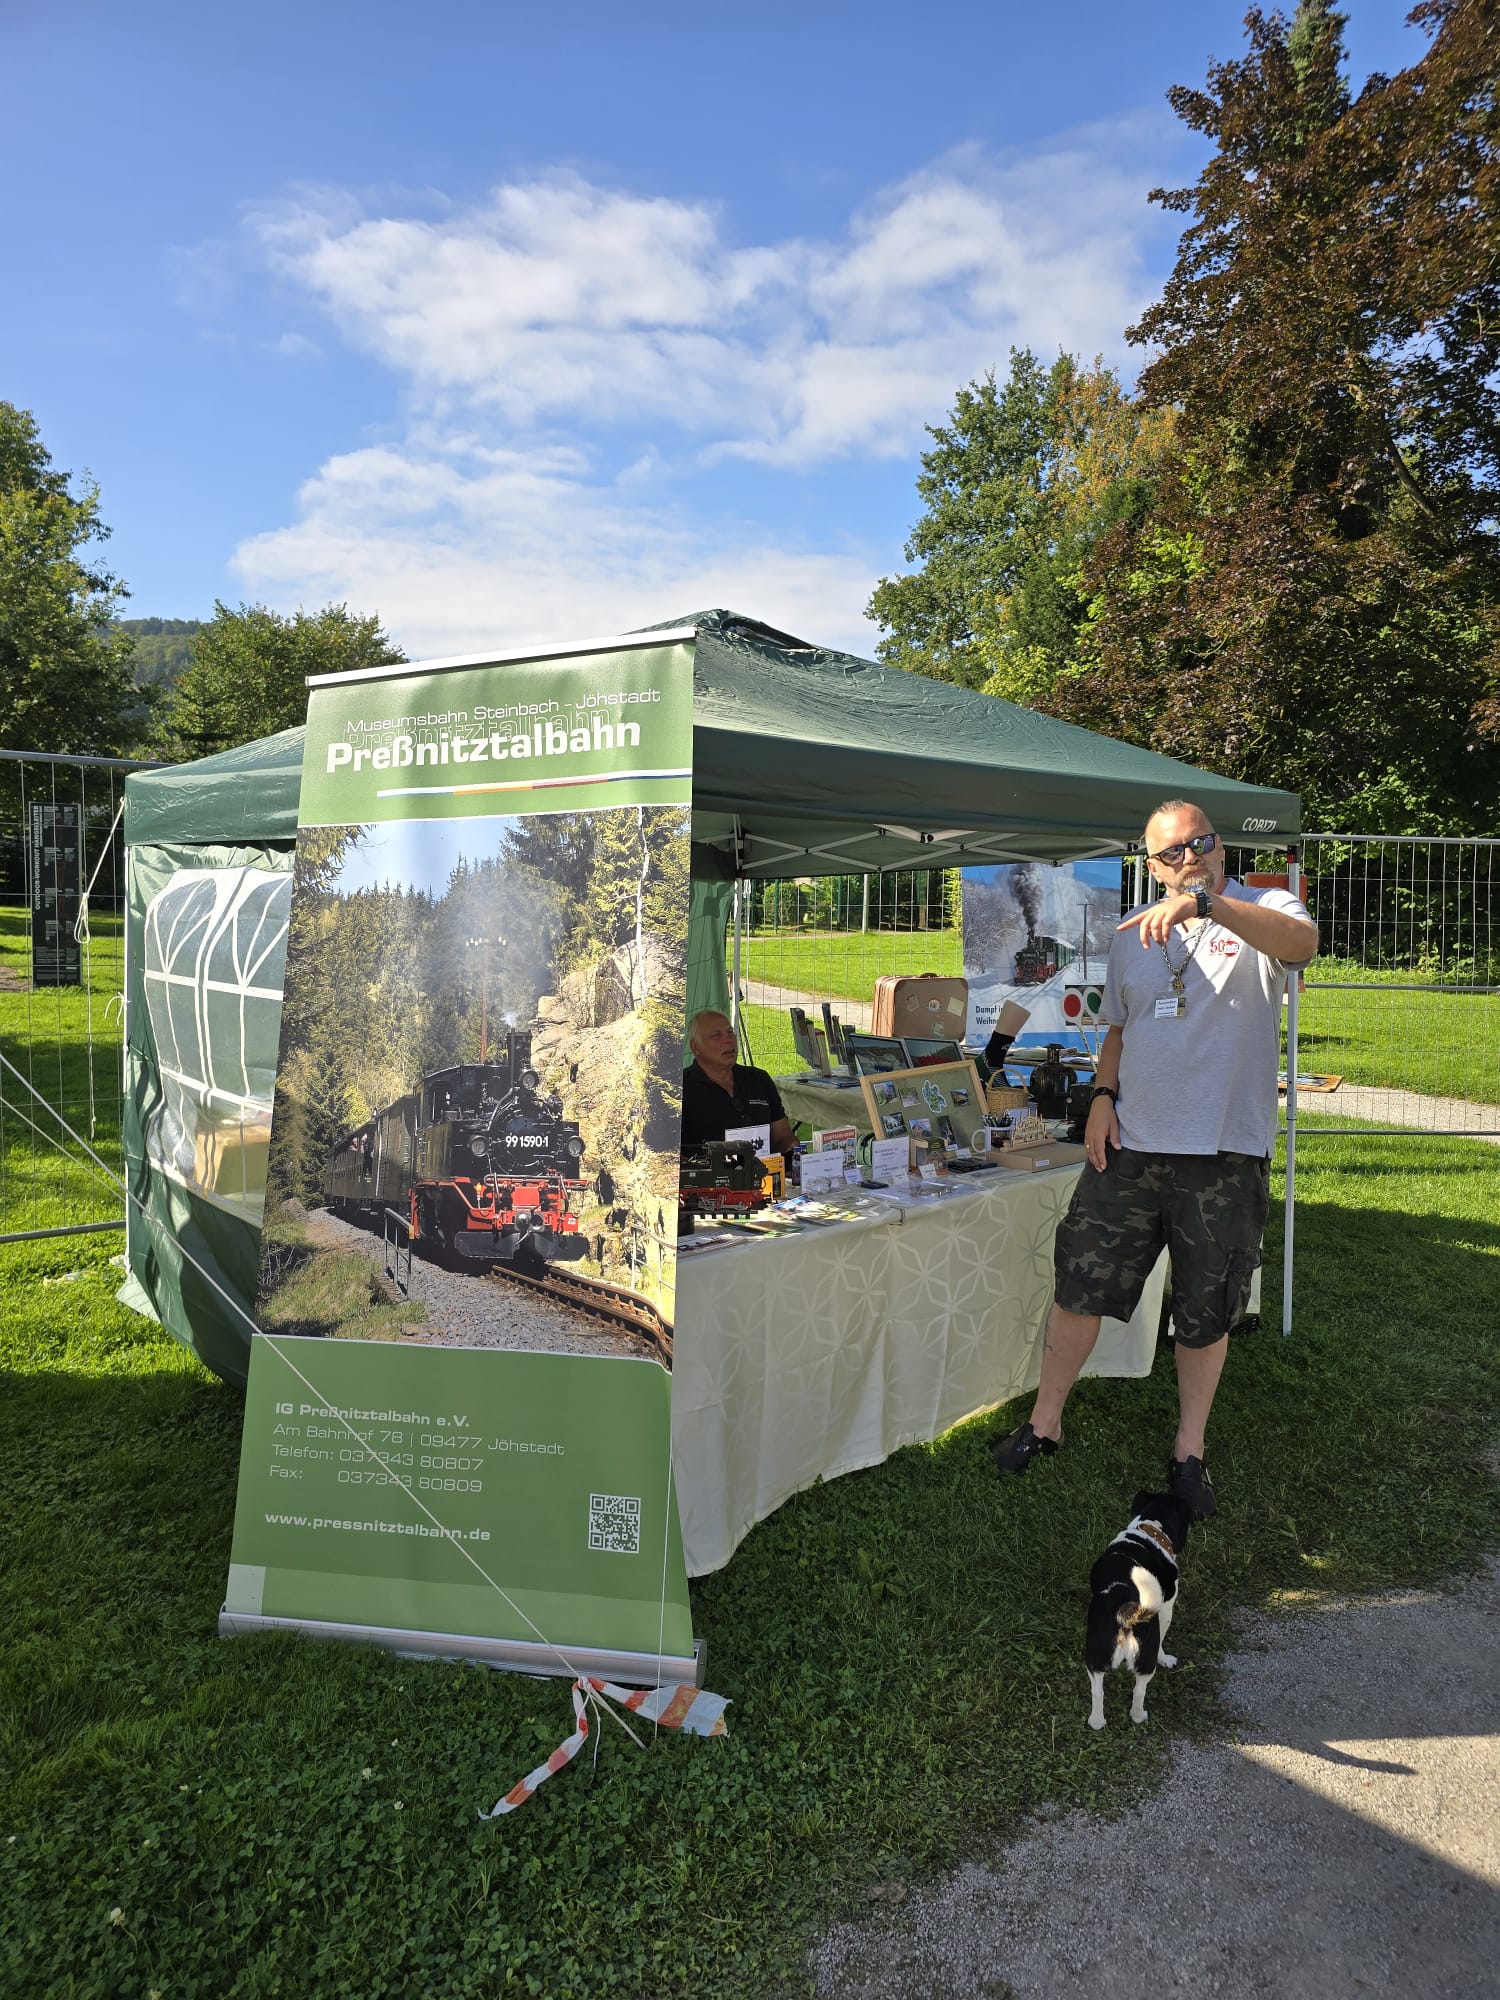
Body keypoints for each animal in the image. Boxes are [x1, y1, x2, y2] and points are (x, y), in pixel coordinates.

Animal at [1088, 1496, 1192, 1728]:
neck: (1148, 1531)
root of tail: (1126, 1615)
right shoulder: (1166, 1609)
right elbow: (1162, 1640)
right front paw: (1166, 1659)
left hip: (1095, 1658)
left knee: (1098, 1693)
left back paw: (1097, 1721)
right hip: (1145, 1661)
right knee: (1138, 1693)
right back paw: (1140, 1716)